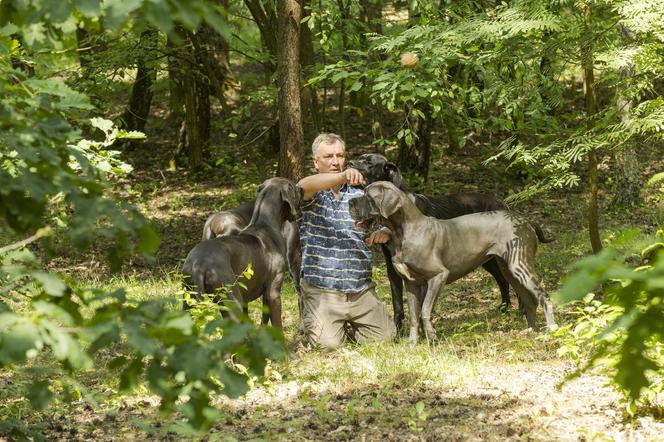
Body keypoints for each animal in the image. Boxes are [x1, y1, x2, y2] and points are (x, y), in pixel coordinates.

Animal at [183, 177, 304, 328]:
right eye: (293, 187)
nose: (302, 189)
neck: (265, 225)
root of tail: (198, 265)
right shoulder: (273, 292)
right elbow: (277, 325)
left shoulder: (260, 295)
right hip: (233, 302)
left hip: (188, 302)